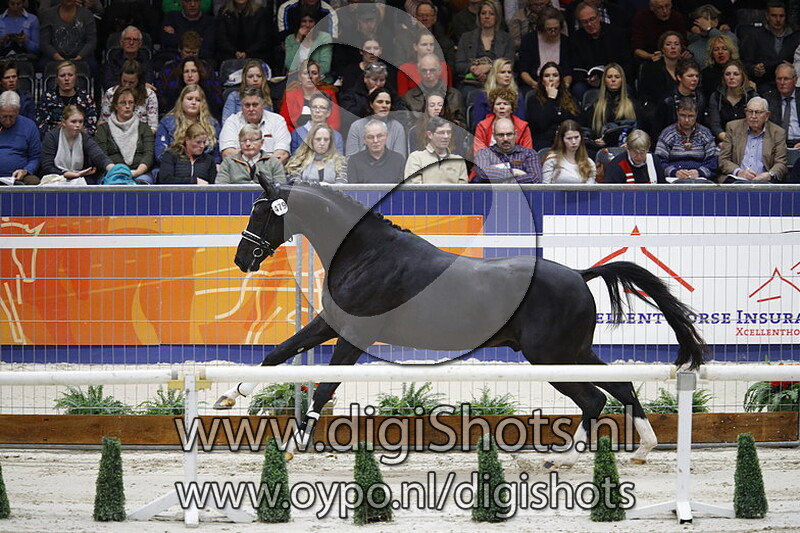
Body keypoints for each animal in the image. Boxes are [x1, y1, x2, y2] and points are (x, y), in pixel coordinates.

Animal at [214, 178, 707, 468]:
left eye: (261, 210)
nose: (242, 259)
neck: (367, 254)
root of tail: (579, 275)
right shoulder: (330, 324)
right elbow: (277, 355)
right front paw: (227, 397)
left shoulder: (353, 337)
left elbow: (324, 386)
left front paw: (295, 444)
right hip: (573, 352)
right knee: (615, 389)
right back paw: (633, 448)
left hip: (552, 356)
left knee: (593, 398)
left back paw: (569, 457)